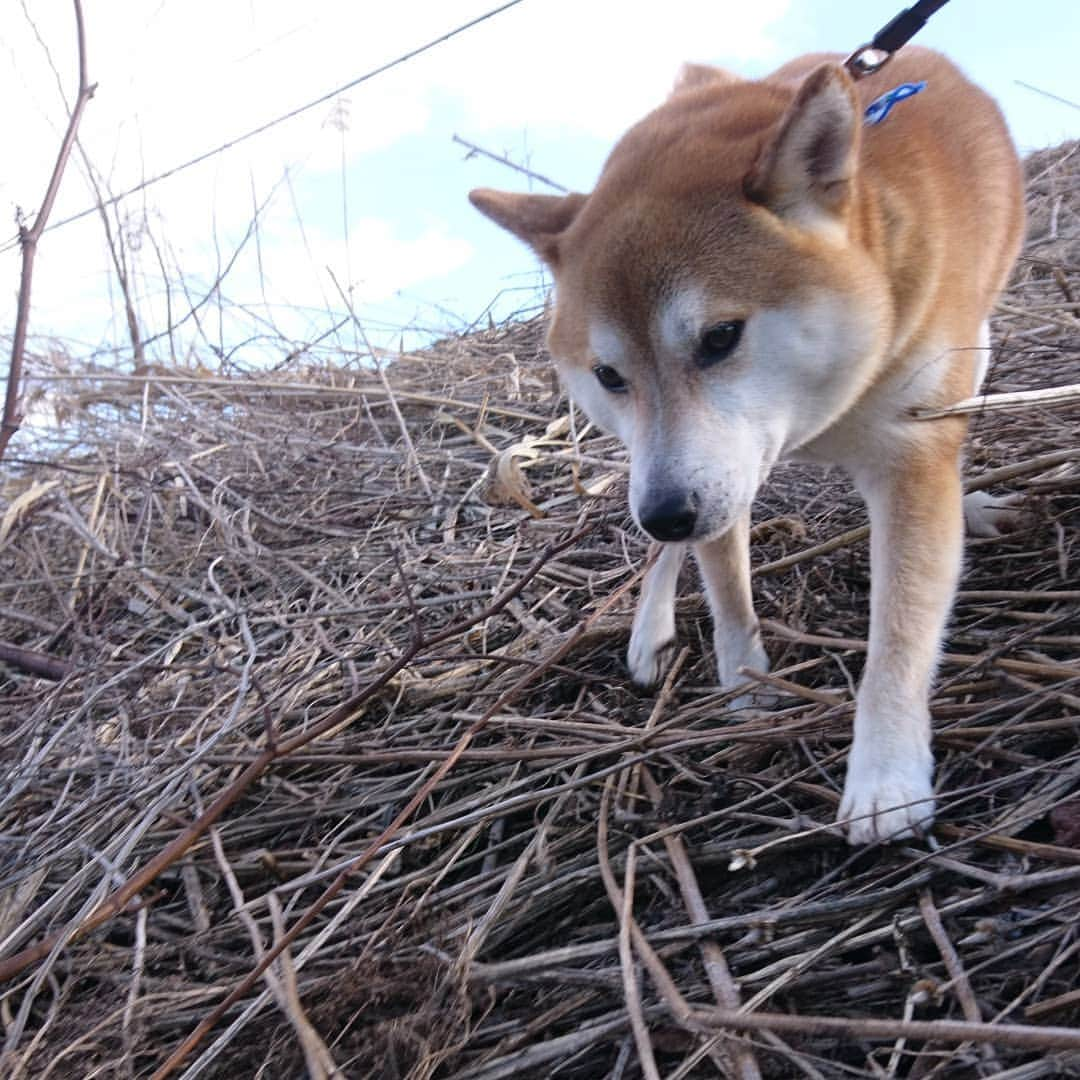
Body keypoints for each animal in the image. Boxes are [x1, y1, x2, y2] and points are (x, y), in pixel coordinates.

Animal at [468, 48, 1023, 842]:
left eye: (721, 337)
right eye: (609, 375)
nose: (666, 514)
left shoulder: (907, 453)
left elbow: (901, 629)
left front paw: (884, 775)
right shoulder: (699, 473)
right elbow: (727, 589)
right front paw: (747, 684)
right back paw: (650, 625)